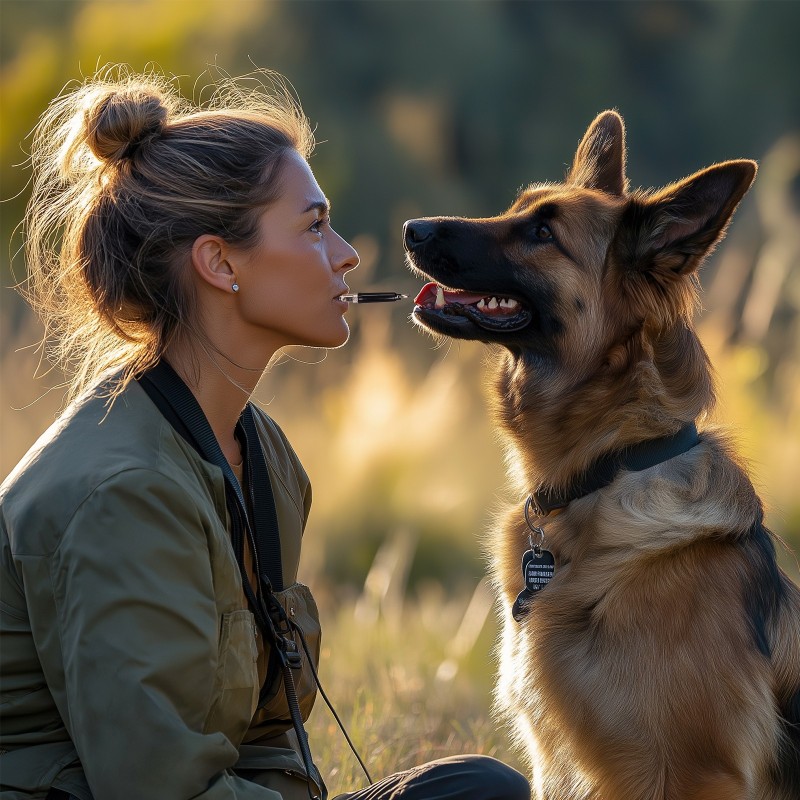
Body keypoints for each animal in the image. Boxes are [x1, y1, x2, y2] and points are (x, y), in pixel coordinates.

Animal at [404, 112, 800, 800]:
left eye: (542, 233)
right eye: (519, 209)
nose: (412, 229)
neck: (609, 466)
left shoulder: (694, 772)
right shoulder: (554, 764)